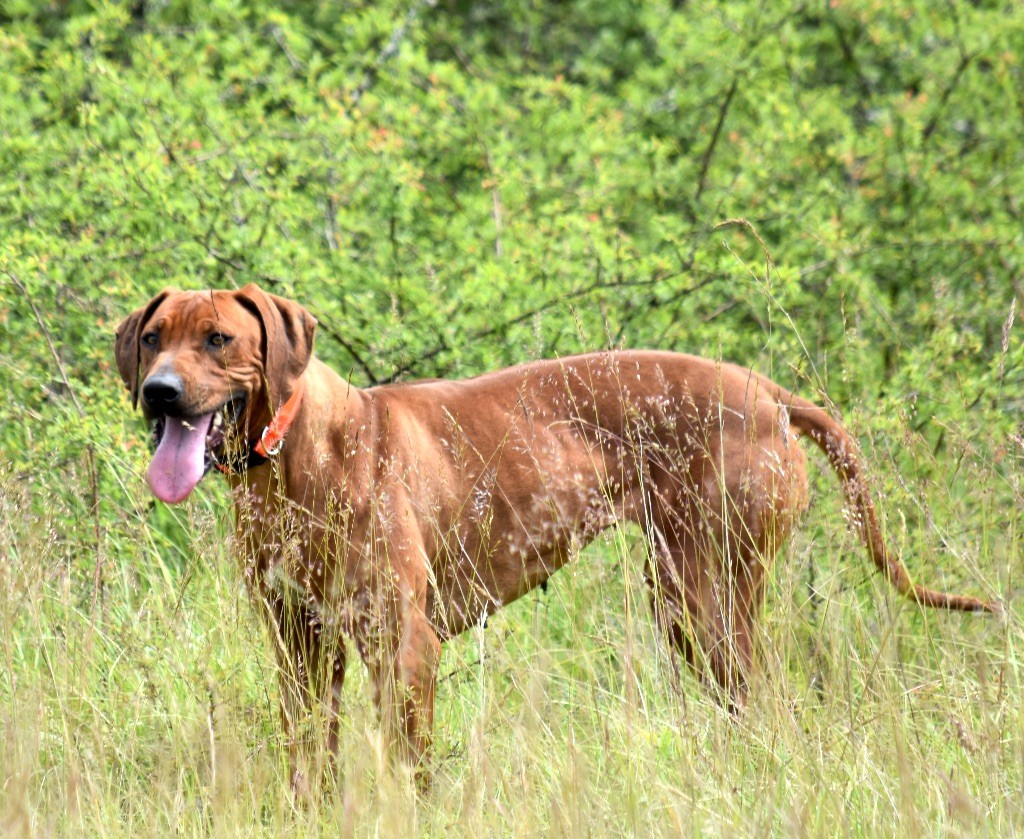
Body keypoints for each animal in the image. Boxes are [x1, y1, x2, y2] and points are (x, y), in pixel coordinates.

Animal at [116, 284, 995, 770]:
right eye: (154, 338)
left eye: (219, 339)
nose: (159, 391)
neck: (294, 458)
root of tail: (771, 392)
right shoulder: (299, 647)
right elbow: (311, 763)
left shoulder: (405, 645)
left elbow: (408, 770)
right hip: (687, 603)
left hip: (710, 596)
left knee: (768, 700)